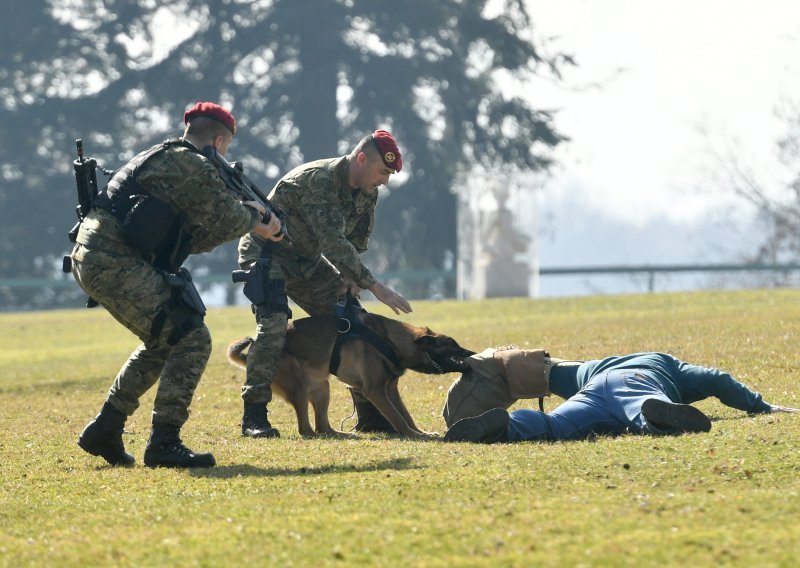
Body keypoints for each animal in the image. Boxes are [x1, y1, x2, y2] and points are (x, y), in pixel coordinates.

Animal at [227, 310, 476, 440]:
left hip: (322, 389)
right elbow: (397, 418)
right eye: (452, 344)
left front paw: (421, 431)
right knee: (306, 428)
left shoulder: (390, 390)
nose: (473, 353)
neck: (391, 341)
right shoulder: (376, 391)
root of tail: (253, 352)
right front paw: (414, 435)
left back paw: (341, 434)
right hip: (299, 389)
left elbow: (406, 415)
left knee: (322, 425)